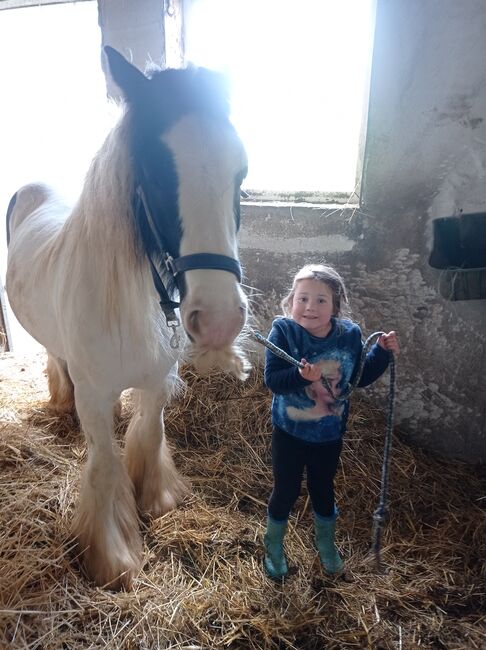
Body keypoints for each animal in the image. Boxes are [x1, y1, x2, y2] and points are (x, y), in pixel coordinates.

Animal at [5, 46, 251, 588]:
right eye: (156, 174)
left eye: (240, 172)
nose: (219, 320)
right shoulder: (94, 399)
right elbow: (104, 467)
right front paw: (112, 557)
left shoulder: (157, 381)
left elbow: (147, 434)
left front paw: (157, 499)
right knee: (56, 360)